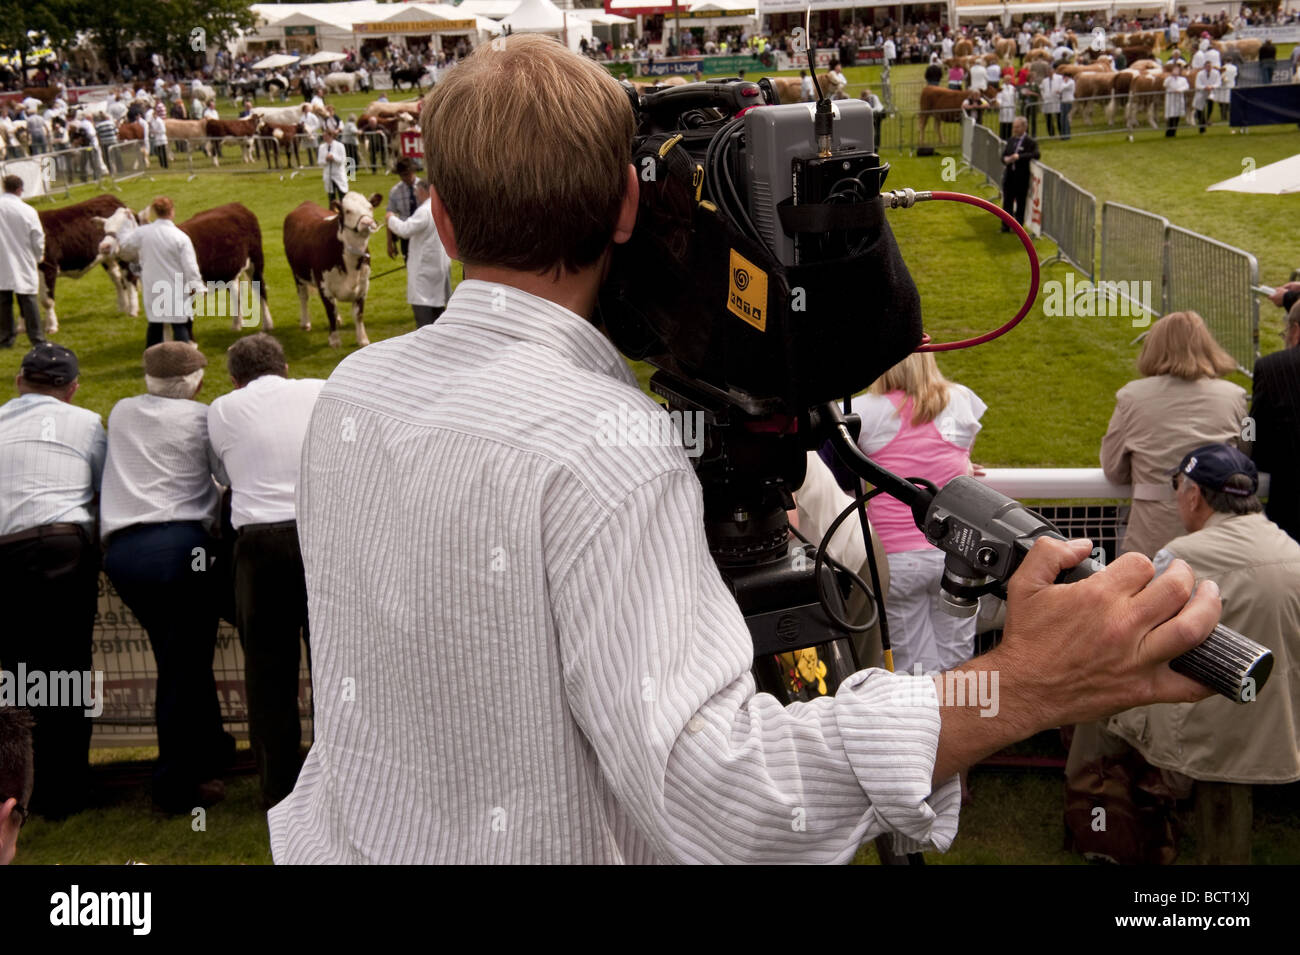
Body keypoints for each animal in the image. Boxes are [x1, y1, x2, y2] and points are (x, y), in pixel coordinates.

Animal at [36, 192, 138, 335]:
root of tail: (109, 197)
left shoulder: (47, 266)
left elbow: (46, 300)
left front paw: (51, 327)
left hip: (124, 253)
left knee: (129, 278)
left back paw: (132, 311)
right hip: (107, 257)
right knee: (118, 280)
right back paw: (123, 307)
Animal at [283, 191, 379, 348]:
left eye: (370, 207)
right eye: (348, 210)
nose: (368, 223)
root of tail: (306, 203)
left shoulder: (363, 285)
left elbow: (358, 314)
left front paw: (363, 339)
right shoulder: (324, 286)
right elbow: (330, 312)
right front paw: (334, 340)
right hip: (297, 273)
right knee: (303, 296)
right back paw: (305, 322)